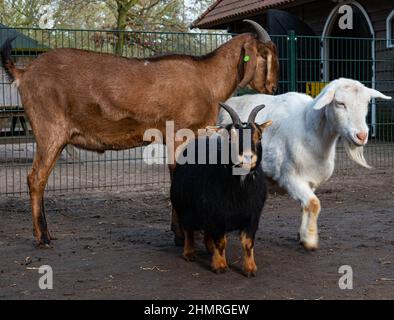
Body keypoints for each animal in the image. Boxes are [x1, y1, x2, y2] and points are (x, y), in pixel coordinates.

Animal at [0, 20, 278, 248]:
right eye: (266, 55)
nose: (274, 87)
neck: (207, 79)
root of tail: (24, 72)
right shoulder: (180, 133)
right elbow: (177, 177)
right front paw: (182, 235)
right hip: (50, 130)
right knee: (36, 179)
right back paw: (43, 237)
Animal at [171, 103, 272, 278]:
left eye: (259, 137)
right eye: (230, 138)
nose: (248, 157)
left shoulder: (253, 215)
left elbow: (248, 243)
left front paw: (250, 268)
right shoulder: (216, 214)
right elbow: (221, 241)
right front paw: (220, 266)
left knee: (205, 230)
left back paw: (208, 248)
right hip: (184, 206)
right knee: (189, 229)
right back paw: (189, 253)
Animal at [219, 77, 390, 250]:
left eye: (367, 103)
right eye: (340, 103)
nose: (361, 136)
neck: (310, 129)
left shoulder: (310, 180)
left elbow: (306, 205)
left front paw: (302, 235)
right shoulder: (289, 177)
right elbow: (314, 204)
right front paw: (310, 240)